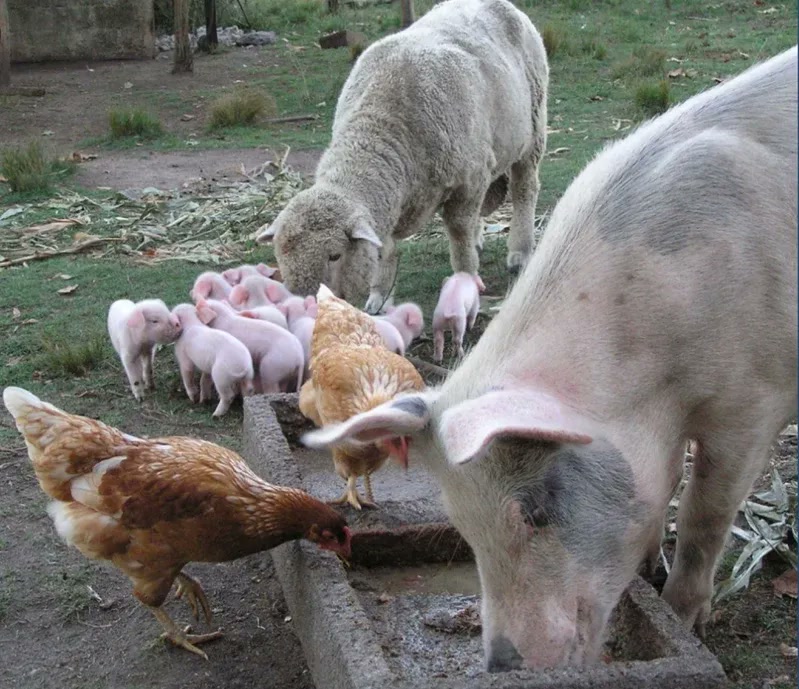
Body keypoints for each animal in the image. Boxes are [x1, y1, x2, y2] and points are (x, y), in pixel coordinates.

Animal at [256, 0, 548, 314]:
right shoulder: (389, 205)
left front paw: (465, 282)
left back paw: (520, 252)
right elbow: (385, 250)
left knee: (524, 189)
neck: (379, 125)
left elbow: (459, 237)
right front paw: (379, 298)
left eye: (335, 255)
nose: (303, 306)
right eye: (280, 257)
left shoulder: (467, 181)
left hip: (533, 127)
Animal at [300, 47, 798, 670]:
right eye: (461, 523)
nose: (503, 666)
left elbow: (705, 517)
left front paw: (683, 618)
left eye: (536, 511)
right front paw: (649, 570)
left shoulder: (753, 402)